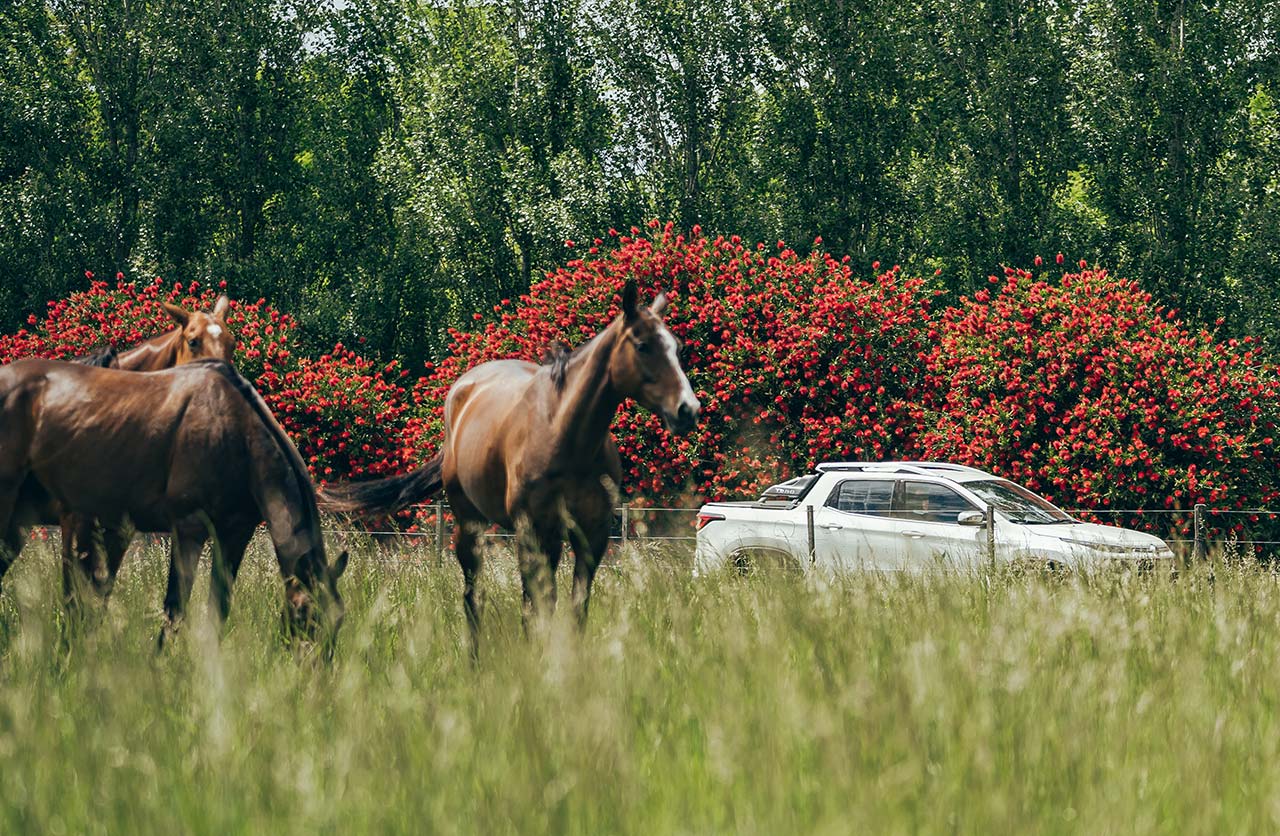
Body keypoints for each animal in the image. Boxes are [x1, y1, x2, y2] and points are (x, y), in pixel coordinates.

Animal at [0, 358, 347, 653]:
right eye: (305, 613)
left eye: (339, 620)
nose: (315, 675)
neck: (234, 429)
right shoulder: (188, 529)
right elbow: (174, 608)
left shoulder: (235, 534)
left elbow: (218, 609)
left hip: (20, 521)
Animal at [320, 279, 699, 654]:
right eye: (644, 345)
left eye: (677, 348)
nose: (688, 409)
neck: (565, 435)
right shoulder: (532, 531)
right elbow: (535, 608)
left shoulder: (591, 535)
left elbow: (575, 607)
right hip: (470, 525)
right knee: (474, 596)